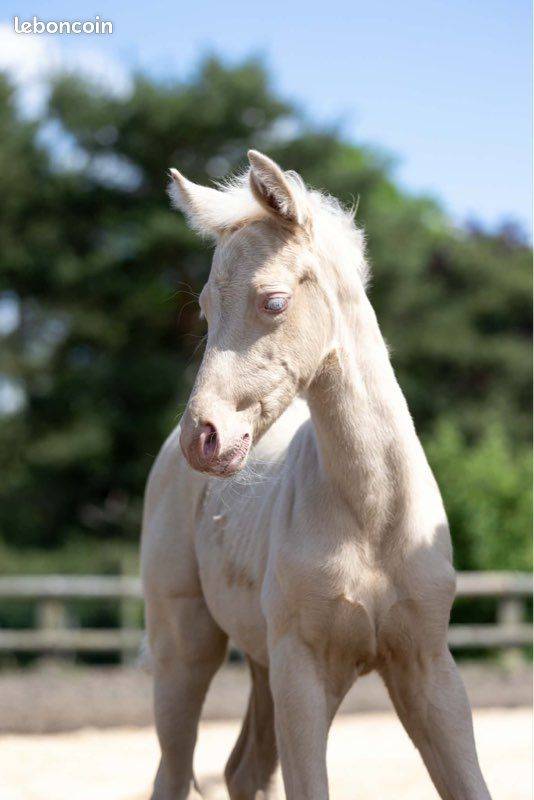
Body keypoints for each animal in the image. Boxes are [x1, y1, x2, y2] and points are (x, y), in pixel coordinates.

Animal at [141, 150, 491, 800]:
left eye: (274, 301)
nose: (203, 438)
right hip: (186, 649)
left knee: (242, 769)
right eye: (204, 309)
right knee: (174, 770)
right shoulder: (302, 669)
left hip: (260, 661)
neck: (374, 515)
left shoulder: (429, 667)